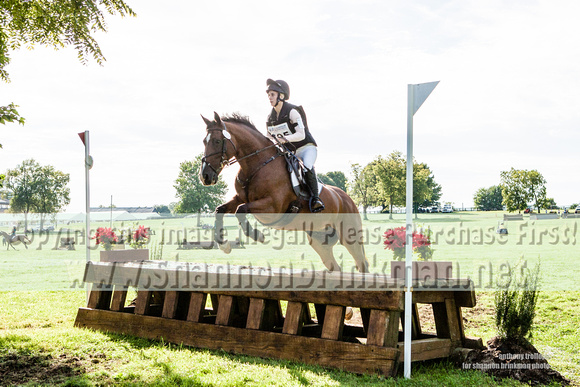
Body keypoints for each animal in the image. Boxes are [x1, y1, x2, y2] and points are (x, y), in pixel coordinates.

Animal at [202, 113, 370, 274]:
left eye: (217, 141)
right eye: (204, 141)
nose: (205, 176)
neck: (258, 165)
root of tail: (347, 198)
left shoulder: (273, 207)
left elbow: (241, 210)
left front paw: (258, 236)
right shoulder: (240, 198)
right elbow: (220, 210)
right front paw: (224, 245)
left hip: (350, 236)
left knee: (361, 263)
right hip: (319, 240)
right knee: (335, 266)